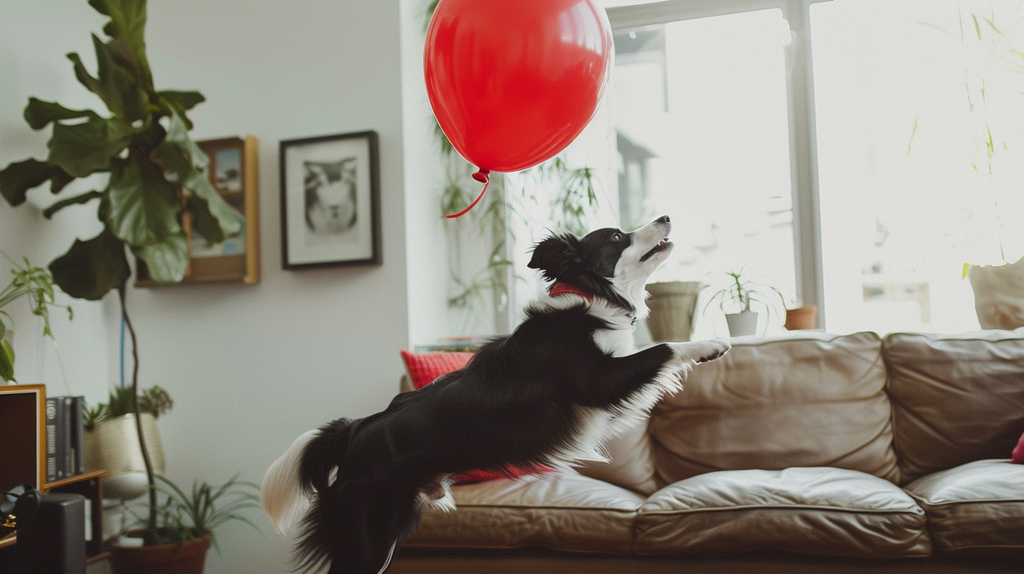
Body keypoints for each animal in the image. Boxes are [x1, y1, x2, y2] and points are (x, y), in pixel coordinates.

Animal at [260, 215, 733, 572]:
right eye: (617, 237)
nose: (665, 216)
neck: (590, 294)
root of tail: (356, 428)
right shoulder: (599, 382)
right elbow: (664, 347)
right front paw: (710, 344)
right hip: (368, 536)